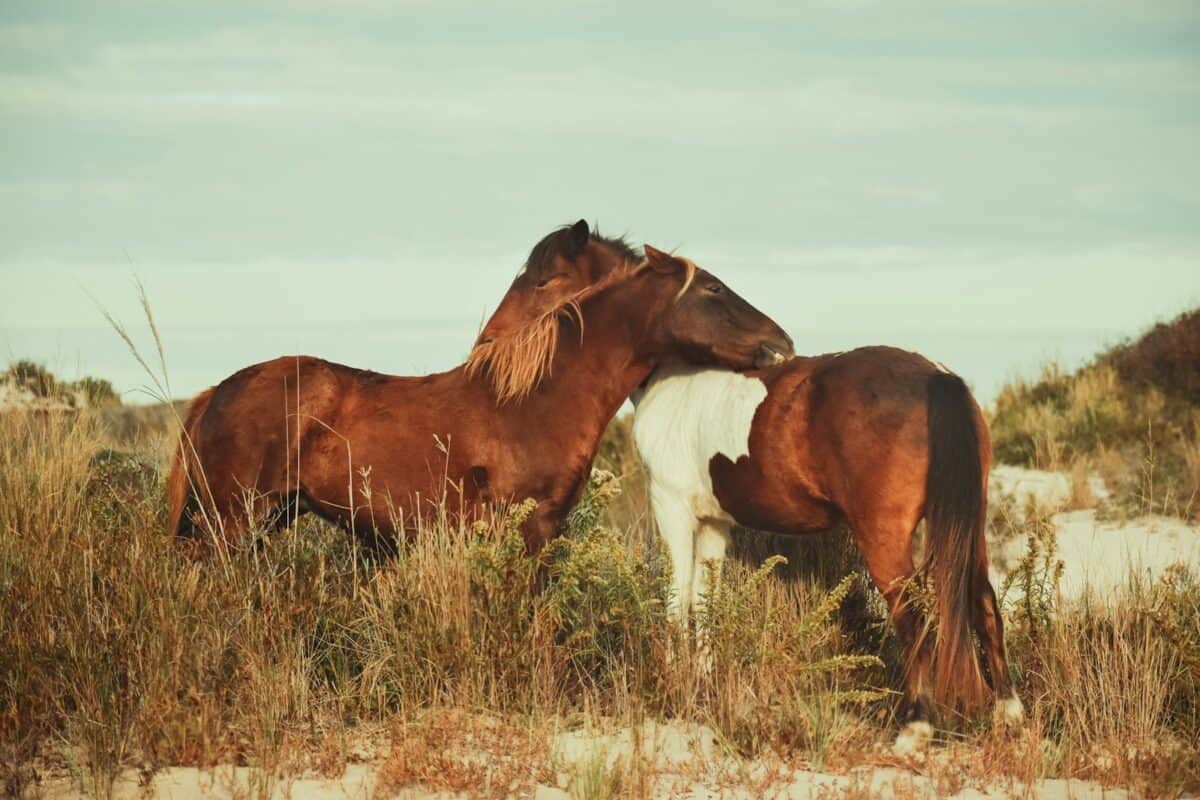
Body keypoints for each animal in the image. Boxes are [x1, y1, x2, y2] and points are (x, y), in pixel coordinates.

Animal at [166, 222, 794, 553]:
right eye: (712, 289)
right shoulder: (527, 530)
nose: (781, 341)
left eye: (544, 280)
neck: (536, 400)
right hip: (230, 525)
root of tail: (214, 393)